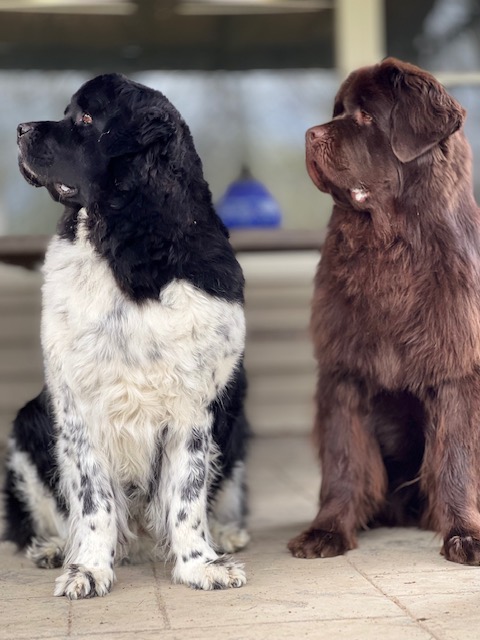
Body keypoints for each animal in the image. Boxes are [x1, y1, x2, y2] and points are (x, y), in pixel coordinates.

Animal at [3, 75, 249, 600]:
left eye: (86, 118)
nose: (19, 129)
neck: (127, 244)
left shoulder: (195, 405)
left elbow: (187, 493)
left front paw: (201, 564)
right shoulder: (79, 403)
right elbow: (93, 498)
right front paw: (88, 569)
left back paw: (225, 533)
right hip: (27, 423)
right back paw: (52, 547)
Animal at [288, 57, 480, 564]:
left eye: (367, 116)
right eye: (337, 111)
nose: (310, 134)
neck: (388, 248)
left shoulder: (456, 370)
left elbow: (456, 457)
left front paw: (465, 535)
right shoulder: (344, 372)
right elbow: (344, 459)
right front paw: (328, 530)